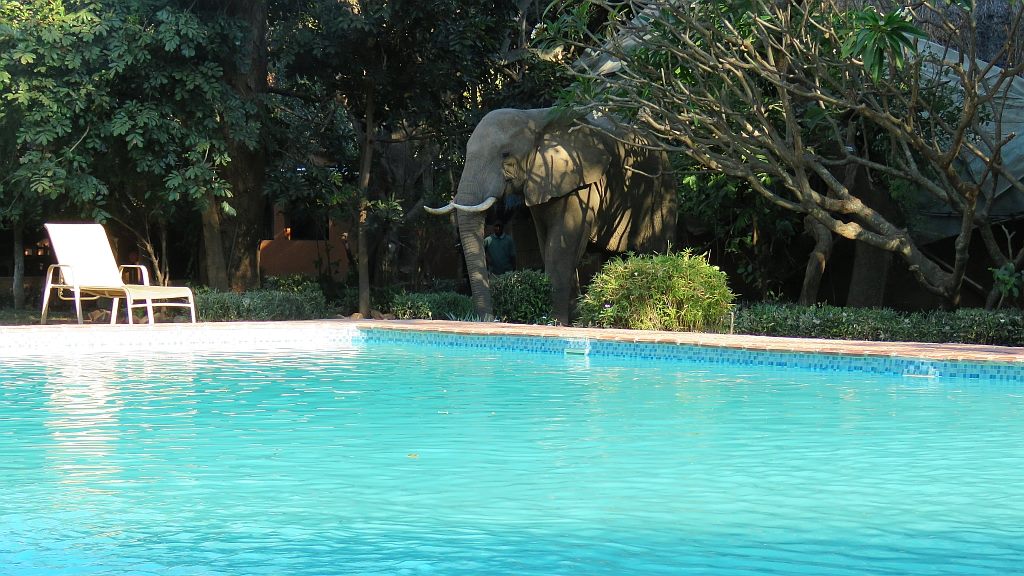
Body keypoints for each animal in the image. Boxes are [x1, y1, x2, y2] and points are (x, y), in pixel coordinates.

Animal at [425, 107, 675, 323]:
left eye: (505, 154)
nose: (490, 320)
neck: (535, 119)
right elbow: (547, 244)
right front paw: (571, 320)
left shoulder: (580, 183)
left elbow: (561, 247)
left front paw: (555, 323)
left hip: (662, 189)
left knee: (653, 248)